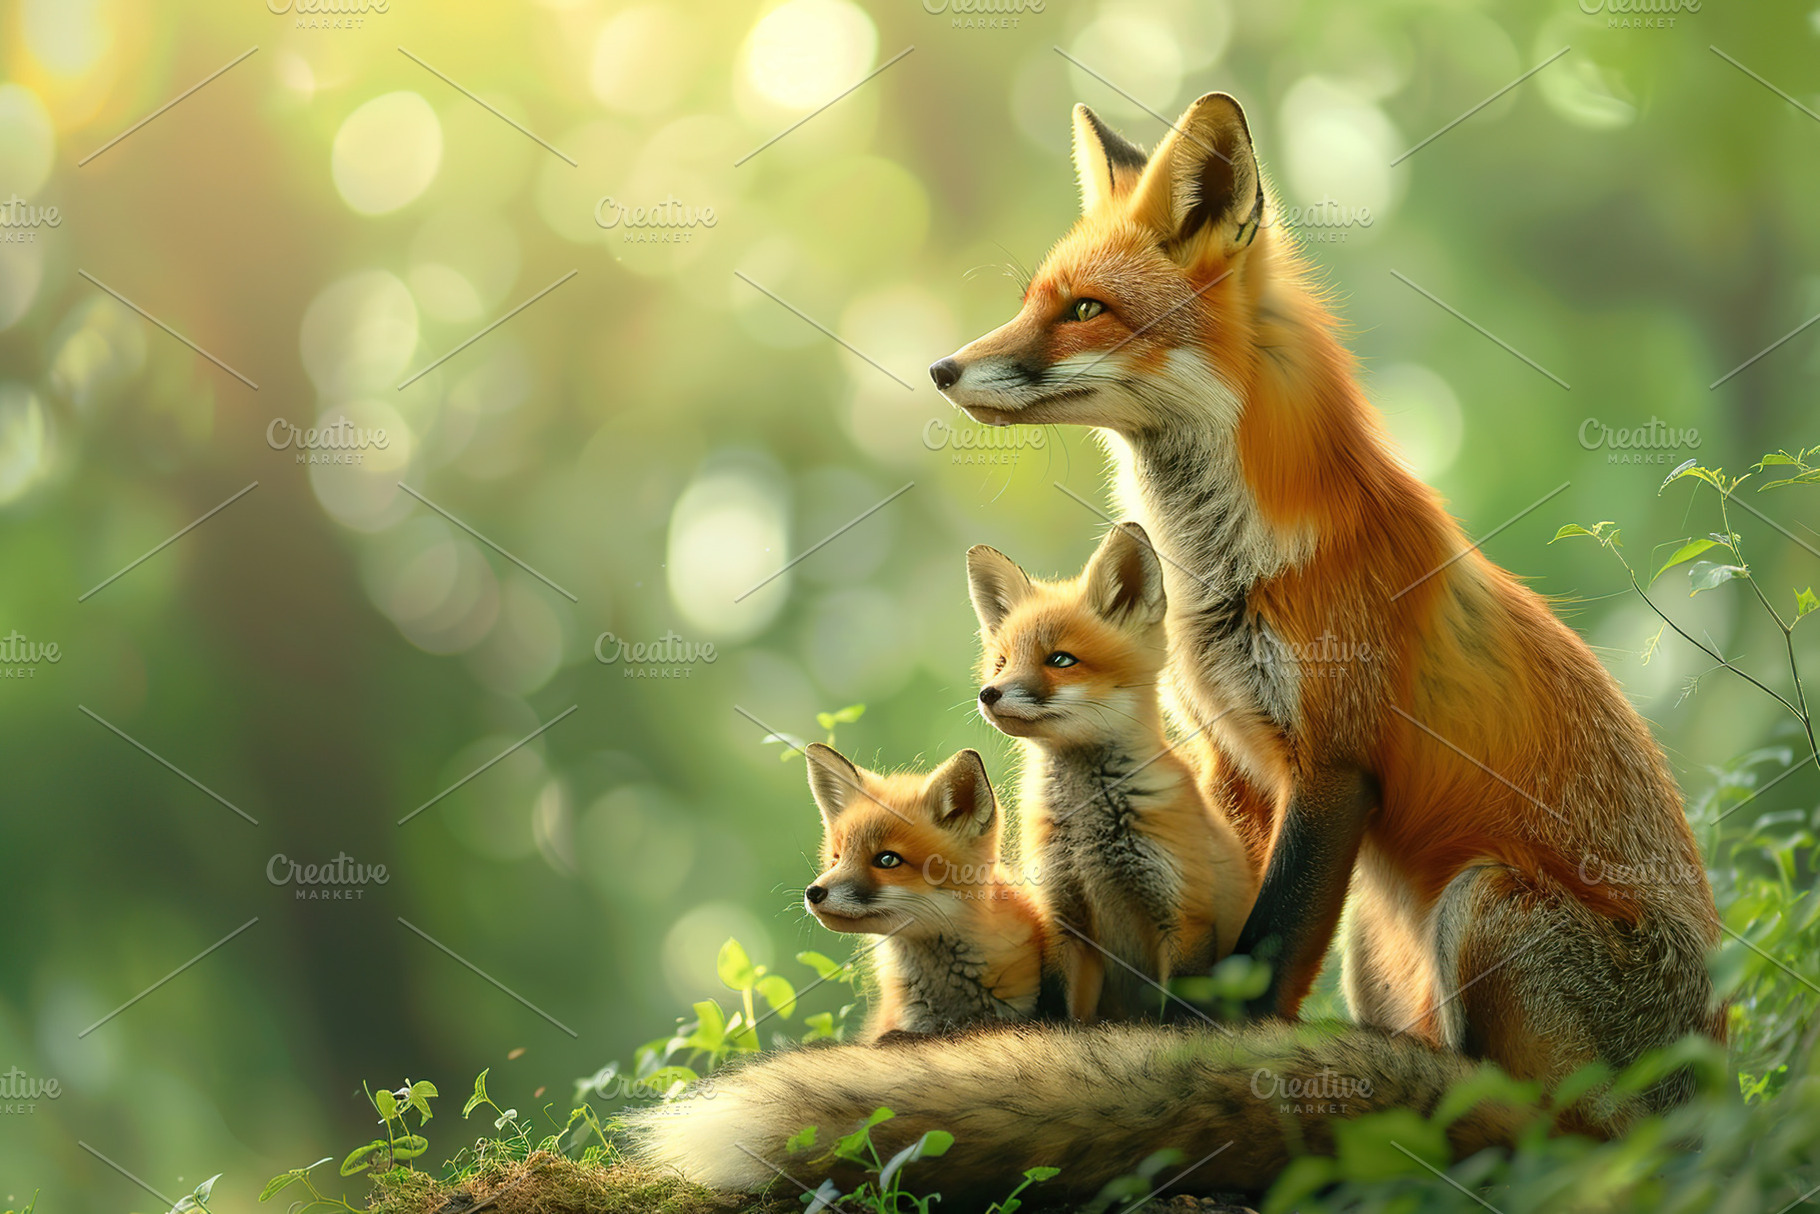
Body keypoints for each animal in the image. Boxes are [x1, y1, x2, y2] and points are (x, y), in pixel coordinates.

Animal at [967, 521, 1258, 1022]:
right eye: (1001, 663)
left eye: (1060, 660)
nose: (989, 693)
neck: (1091, 836)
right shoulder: (1061, 917)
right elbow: (1058, 1013)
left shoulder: (1185, 917)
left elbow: (1179, 1014)